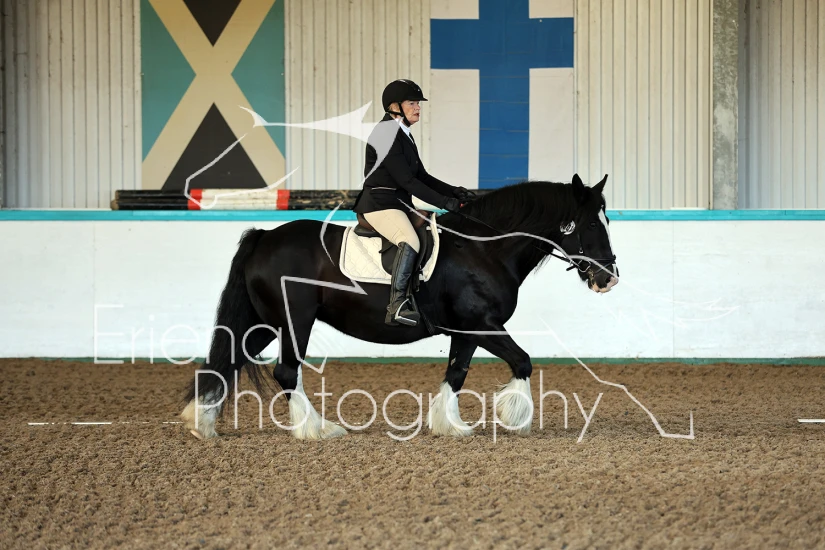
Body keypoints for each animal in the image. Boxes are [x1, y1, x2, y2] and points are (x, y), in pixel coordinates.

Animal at [180, 173, 619, 440]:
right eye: (591, 224)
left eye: (607, 220)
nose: (609, 278)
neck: (483, 249)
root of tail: (265, 236)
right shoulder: (482, 324)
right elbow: (523, 361)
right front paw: (515, 417)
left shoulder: (467, 330)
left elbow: (456, 374)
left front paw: (449, 426)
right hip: (293, 322)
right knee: (286, 371)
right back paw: (317, 429)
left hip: (260, 323)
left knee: (224, 361)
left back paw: (200, 423)